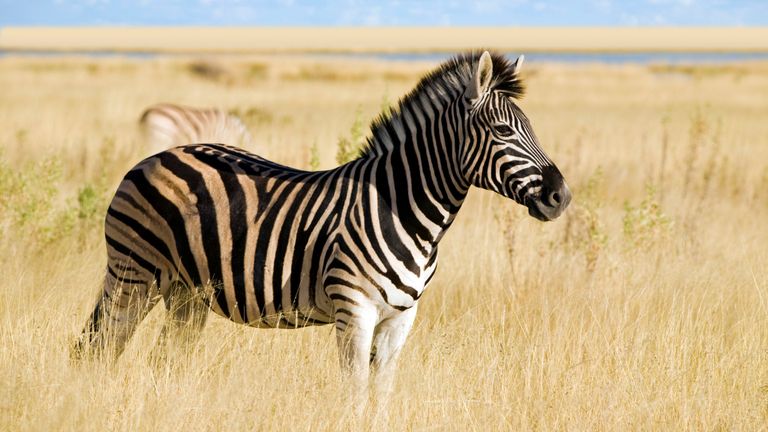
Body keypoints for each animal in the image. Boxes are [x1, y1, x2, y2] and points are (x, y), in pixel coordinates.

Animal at [76, 51, 571, 393]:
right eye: (504, 131)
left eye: (531, 127)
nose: (561, 196)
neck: (405, 210)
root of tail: (157, 155)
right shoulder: (354, 311)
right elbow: (355, 393)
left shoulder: (400, 320)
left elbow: (381, 394)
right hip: (134, 272)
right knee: (99, 348)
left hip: (187, 292)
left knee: (163, 359)